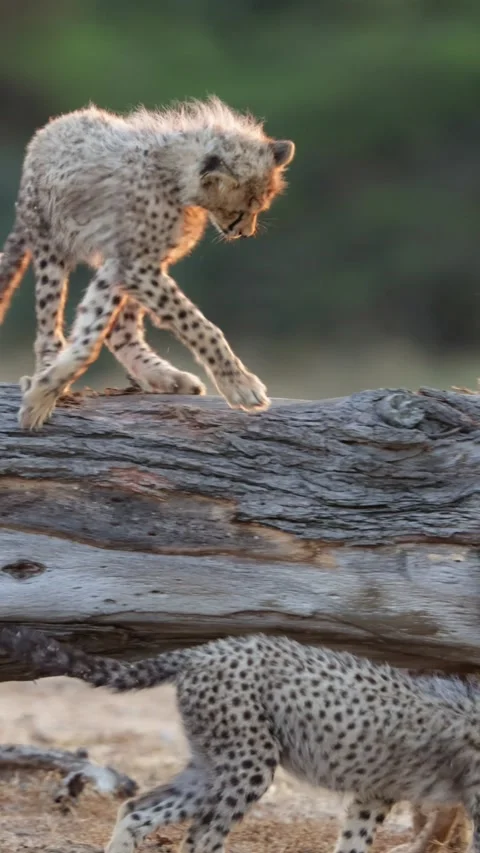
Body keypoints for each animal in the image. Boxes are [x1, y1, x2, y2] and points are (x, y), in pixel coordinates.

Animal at [0, 97, 295, 429]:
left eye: (259, 206)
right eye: (243, 209)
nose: (245, 232)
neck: (175, 173)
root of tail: (49, 128)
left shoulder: (125, 264)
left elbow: (91, 335)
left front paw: (44, 391)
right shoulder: (136, 266)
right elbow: (198, 325)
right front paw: (240, 385)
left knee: (121, 331)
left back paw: (164, 376)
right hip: (51, 244)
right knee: (49, 324)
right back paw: (48, 363)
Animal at [1, 626, 479, 853]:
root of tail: (210, 647)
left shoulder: (373, 793)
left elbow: (354, 842)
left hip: (211, 763)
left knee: (138, 810)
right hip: (249, 763)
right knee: (201, 836)